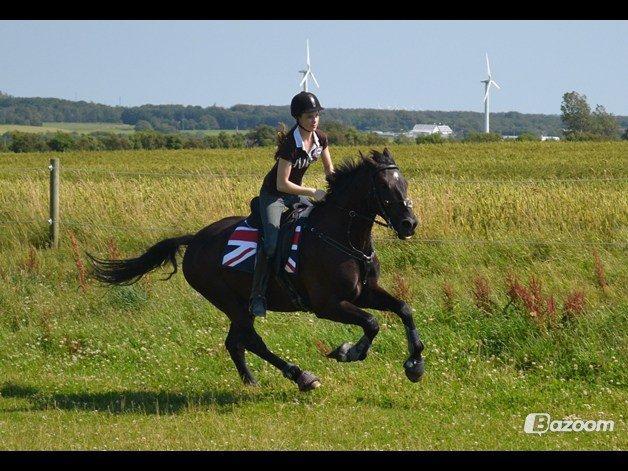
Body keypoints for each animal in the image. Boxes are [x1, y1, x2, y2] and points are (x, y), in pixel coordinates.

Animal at [86, 149, 424, 392]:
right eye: (384, 186)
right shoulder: (327, 304)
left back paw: (251, 380)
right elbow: (372, 322)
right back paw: (301, 376)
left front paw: (415, 364)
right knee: (250, 339)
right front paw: (347, 352)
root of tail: (195, 240)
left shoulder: (364, 292)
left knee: (235, 341)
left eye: (405, 182)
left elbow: (403, 309)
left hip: (238, 303)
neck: (343, 236)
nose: (409, 223)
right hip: (228, 300)